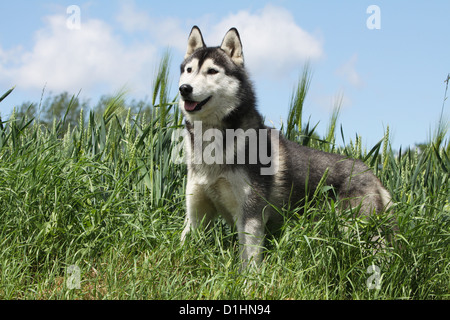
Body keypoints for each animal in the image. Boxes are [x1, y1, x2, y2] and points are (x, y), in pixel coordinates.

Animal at [178, 26, 396, 268]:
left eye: (212, 71)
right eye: (189, 70)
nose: (184, 88)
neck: (211, 143)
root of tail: (371, 173)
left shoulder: (250, 216)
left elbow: (249, 262)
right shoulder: (196, 215)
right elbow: (182, 248)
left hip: (362, 233)